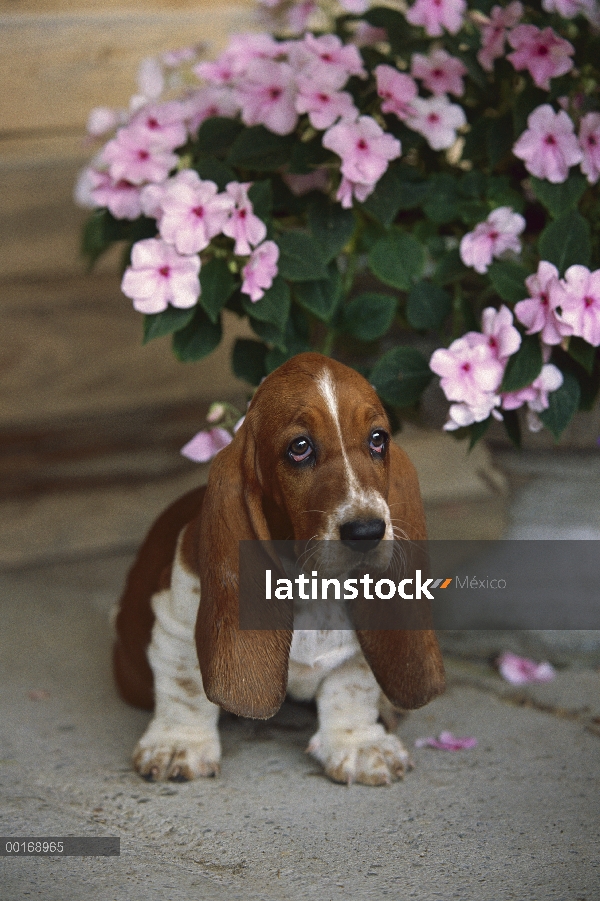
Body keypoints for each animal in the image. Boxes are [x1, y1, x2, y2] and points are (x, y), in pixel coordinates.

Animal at [112, 356, 442, 784]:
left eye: (378, 439)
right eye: (299, 448)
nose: (367, 531)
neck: (312, 581)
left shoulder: (356, 655)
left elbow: (351, 688)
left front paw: (358, 744)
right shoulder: (175, 626)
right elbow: (185, 687)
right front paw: (178, 744)